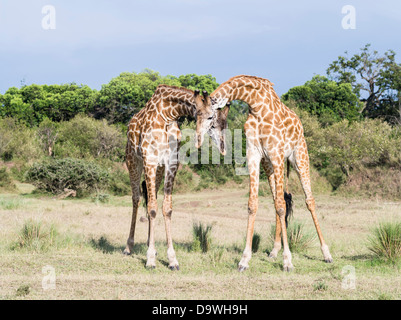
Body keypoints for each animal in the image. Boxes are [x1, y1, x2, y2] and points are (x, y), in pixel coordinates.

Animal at [122, 85, 228, 270]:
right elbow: (152, 208)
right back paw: (129, 247)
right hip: (133, 161)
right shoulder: (150, 160)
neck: (168, 115)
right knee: (136, 198)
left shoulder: (171, 163)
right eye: (211, 118)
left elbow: (166, 208)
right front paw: (150, 260)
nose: (222, 147)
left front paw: (171, 259)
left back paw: (151, 246)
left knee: (149, 198)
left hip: (158, 169)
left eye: (225, 123)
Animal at [206, 75, 332, 272]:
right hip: (269, 166)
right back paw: (274, 251)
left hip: (299, 157)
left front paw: (288, 262)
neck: (256, 105)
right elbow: (254, 204)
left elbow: (281, 206)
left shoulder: (277, 155)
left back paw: (326, 254)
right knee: (277, 201)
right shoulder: (255, 155)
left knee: (308, 201)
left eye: (212, 122)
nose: (221, 148)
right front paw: (244, 260)